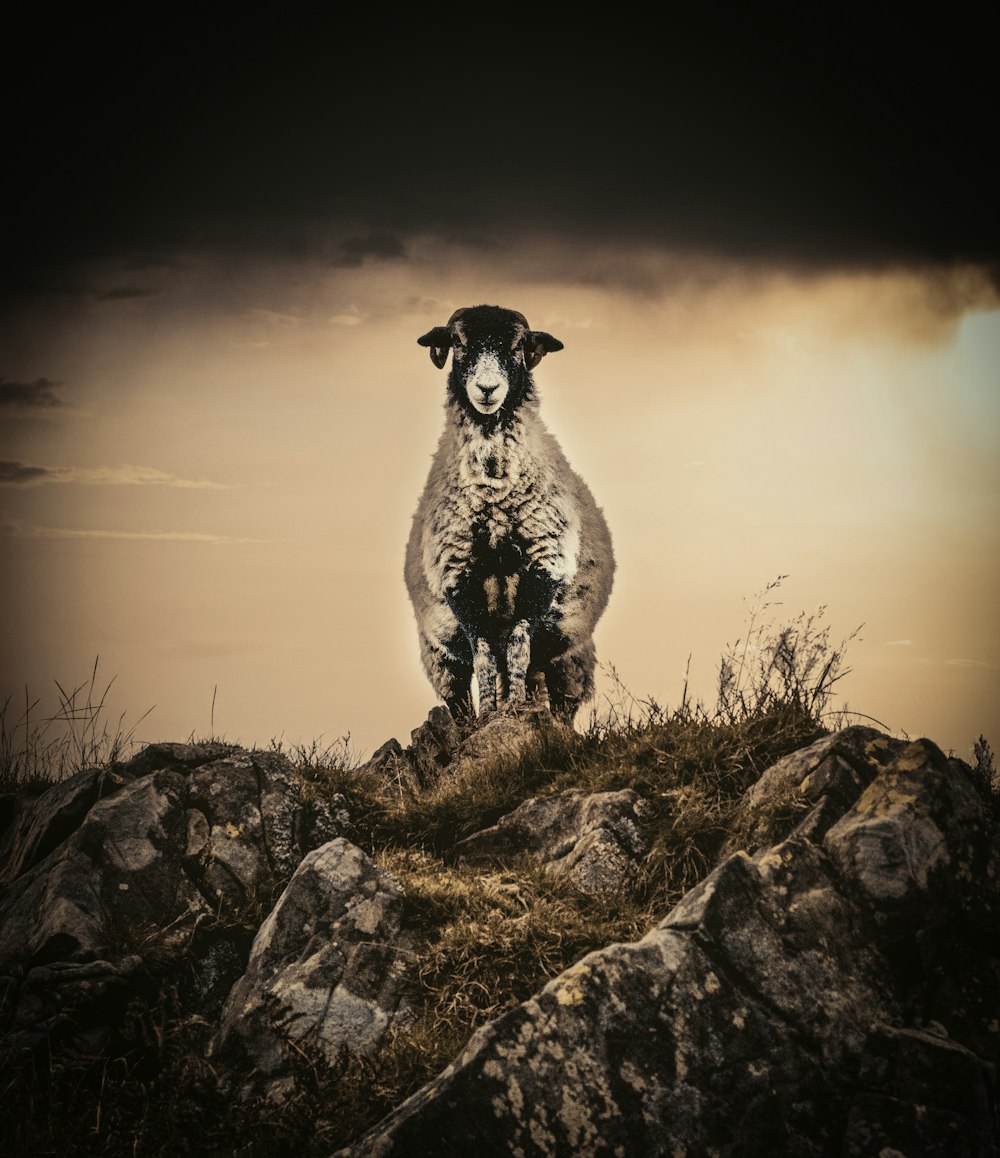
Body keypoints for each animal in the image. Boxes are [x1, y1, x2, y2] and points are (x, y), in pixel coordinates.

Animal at [402, 303, 611, 717]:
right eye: (458, 342)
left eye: (518, 346)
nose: (487, 389)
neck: (493, 490)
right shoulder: (458, 575)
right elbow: (483, 652)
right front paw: (491, 713)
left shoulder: (544, 566)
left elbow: (517, 645)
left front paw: (513, 708)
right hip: (439, 653)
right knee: (457, 695)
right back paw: (469, 722)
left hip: (569, 652)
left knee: (559, 696)